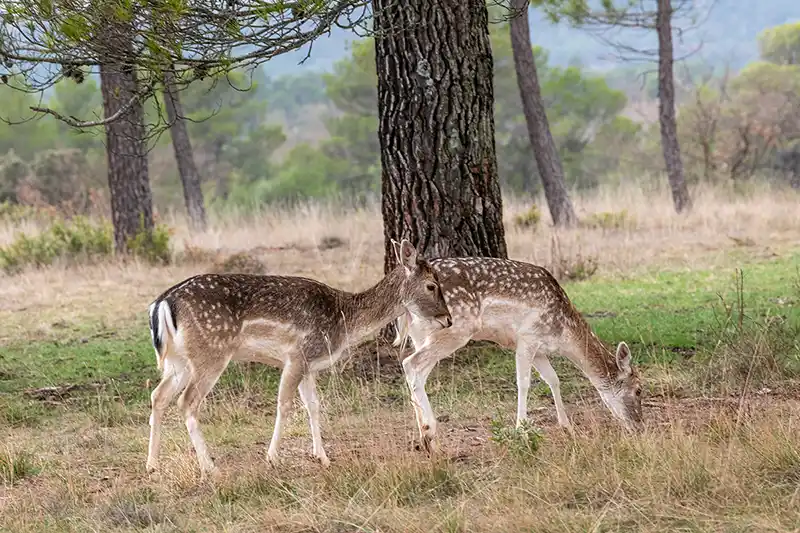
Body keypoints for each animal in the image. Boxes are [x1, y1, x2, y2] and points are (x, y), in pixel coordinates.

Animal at [146, 239, 454, 480]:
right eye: (431, 285)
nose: (448, 319)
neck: (343, 321)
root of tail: (162, 303)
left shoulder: (310, 364)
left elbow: (313, 406)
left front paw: (323, 457)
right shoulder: (297, 356)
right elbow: (284, 405)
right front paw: (272, 458)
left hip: (179, 360)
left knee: (158, 395)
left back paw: (152, 465)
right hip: (211, 352)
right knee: (186, 401)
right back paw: (210, 468)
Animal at [394, 256, 644, 450]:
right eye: (639, 390)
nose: (639, 425)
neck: (563, 334)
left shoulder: (540, 349)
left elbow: (553, 379)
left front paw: (567, 427)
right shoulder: (527, 338)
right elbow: (523, 383)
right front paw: (522, 431)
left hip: (420, 335)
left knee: (416, 372)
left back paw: (428, 440)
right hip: (457, 329)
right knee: (410, 363)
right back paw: (428, 435)